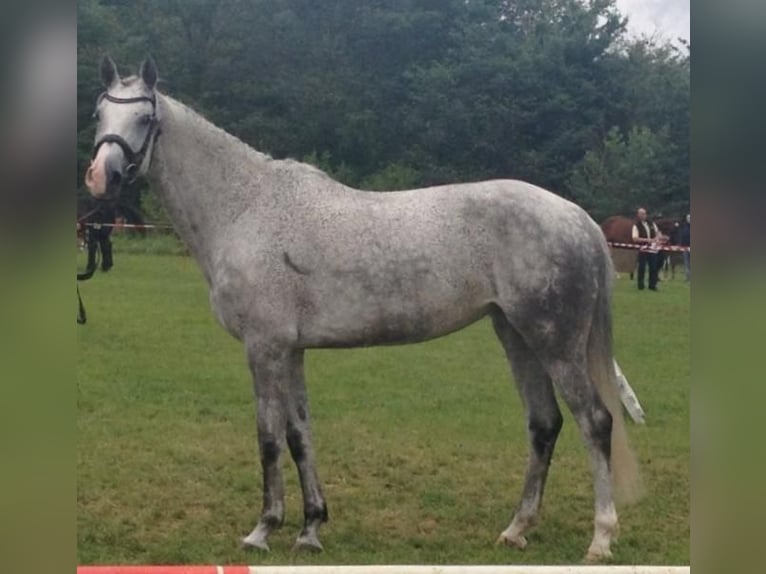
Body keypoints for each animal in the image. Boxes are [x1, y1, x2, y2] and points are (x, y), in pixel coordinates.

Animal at [85, 58, 640, 564]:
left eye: (144, 118)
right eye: (99, 113)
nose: (99, 177)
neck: (245, 208)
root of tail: (578, 218)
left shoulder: (264, 347)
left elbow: (268, 437)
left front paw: (264, 529)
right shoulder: (291, 350)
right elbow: (299, 434)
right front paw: (311, 528)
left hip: (554, 342)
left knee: (595, 421)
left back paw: (600, 539)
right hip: (516, 335)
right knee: (544, 424)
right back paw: (516, 529)